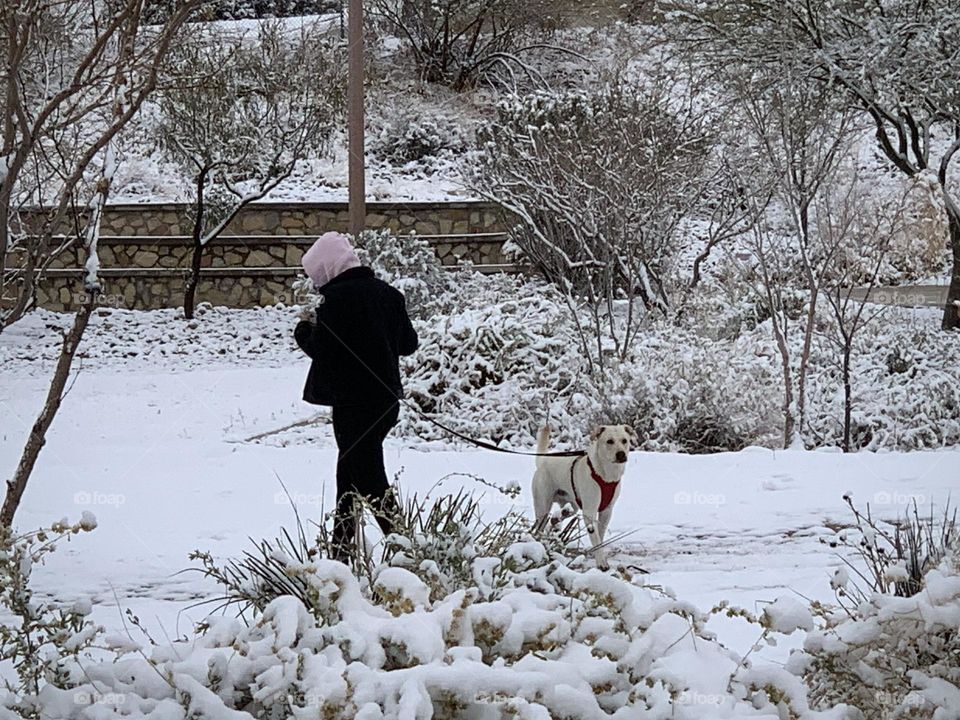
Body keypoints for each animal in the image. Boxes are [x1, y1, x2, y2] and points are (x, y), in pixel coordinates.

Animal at [532, 422, 636, 568]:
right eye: (609, 441)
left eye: (624, 440)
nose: (621, 454)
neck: (607, 476)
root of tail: (543, 461)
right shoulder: (589, 512)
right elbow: (596, 537)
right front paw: (601, 563)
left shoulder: (607, 511)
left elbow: (600, 536)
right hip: (542, 506)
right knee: (540, 526)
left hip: (572, 506)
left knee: (556, 518)